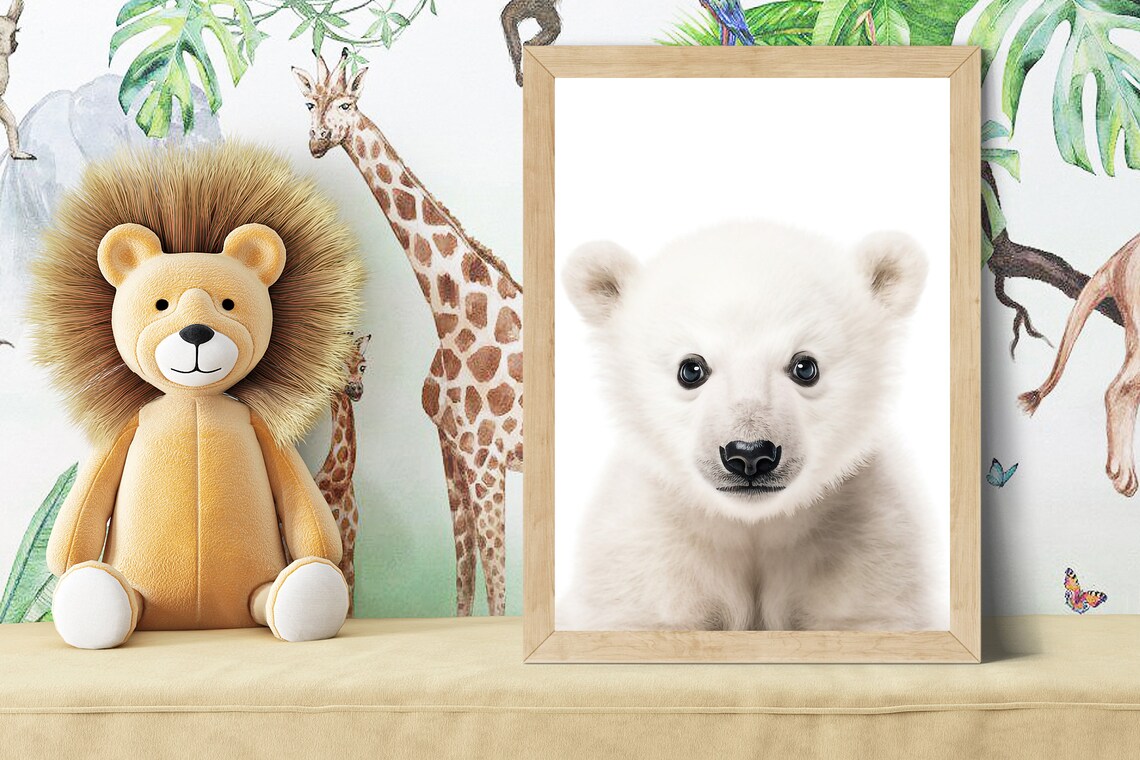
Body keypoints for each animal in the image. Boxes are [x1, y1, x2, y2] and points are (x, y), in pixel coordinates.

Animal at [557, 221, 943, 632]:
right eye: (691, 369)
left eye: (805, 366)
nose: (750, 454)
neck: (751, 523)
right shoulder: (643, 549)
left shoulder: (867, 538)